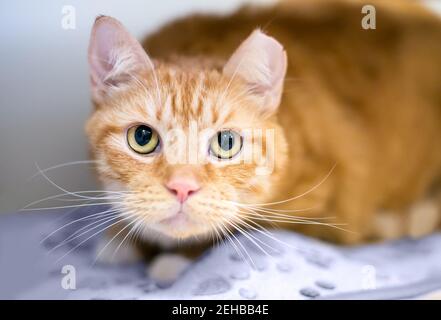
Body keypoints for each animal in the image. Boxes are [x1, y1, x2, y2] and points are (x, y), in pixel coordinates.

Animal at [85, 0, 440, 278]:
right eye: (142, 137)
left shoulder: (326, 216)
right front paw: (123, 237)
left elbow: (241, 228)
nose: (182, 187)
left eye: (226, 143)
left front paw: (178, 259)